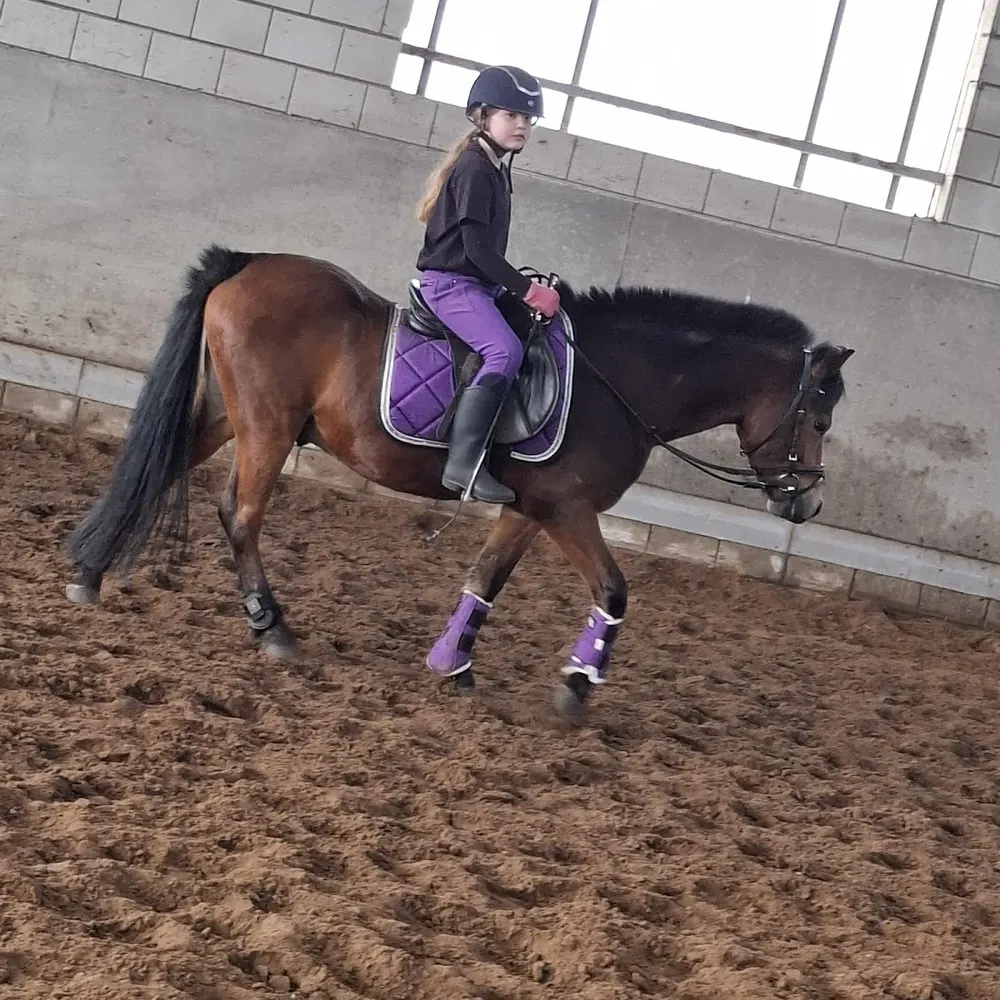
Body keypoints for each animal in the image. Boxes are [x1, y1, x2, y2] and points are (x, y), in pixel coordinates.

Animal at [62, 245, 853, 722]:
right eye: (817, 414)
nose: (808, 499)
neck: (616, 380)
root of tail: (243, 266)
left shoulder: (530, 509)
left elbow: (485, 578)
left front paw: (453, 664)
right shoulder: (567, 508)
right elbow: (614, 589)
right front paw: (576, 686)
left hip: (232, 415)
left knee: (161, 465)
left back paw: (89, 570)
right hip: (266, 426)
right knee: (242, 513)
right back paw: (272, 628)